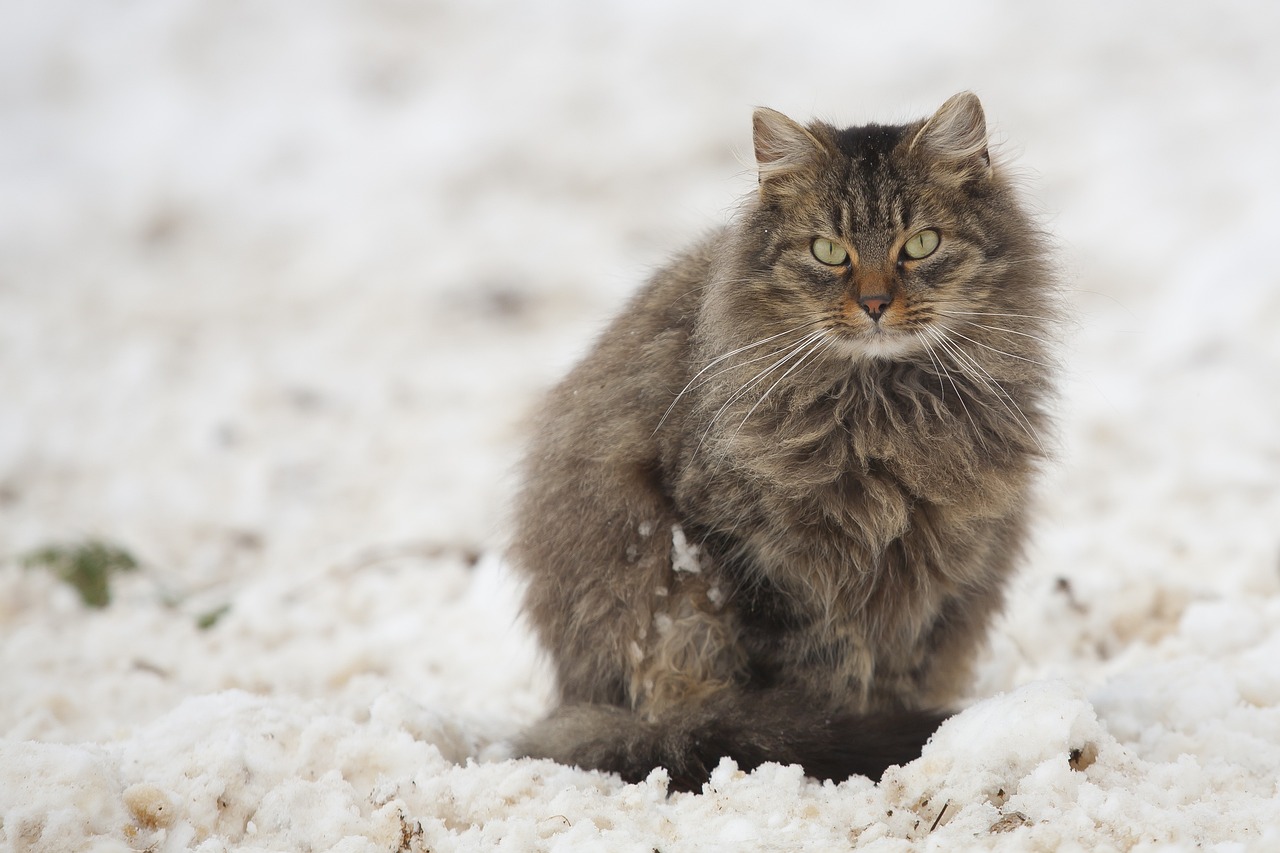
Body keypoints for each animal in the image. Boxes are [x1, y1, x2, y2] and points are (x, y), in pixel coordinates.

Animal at [509, 92, 1059, 788]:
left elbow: (893, 671)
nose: (875, 304)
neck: (885, 411)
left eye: (920, 244)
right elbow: (818, 679)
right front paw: (842, 747)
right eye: (828, 251)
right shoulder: (764, 561)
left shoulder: (933, 573)